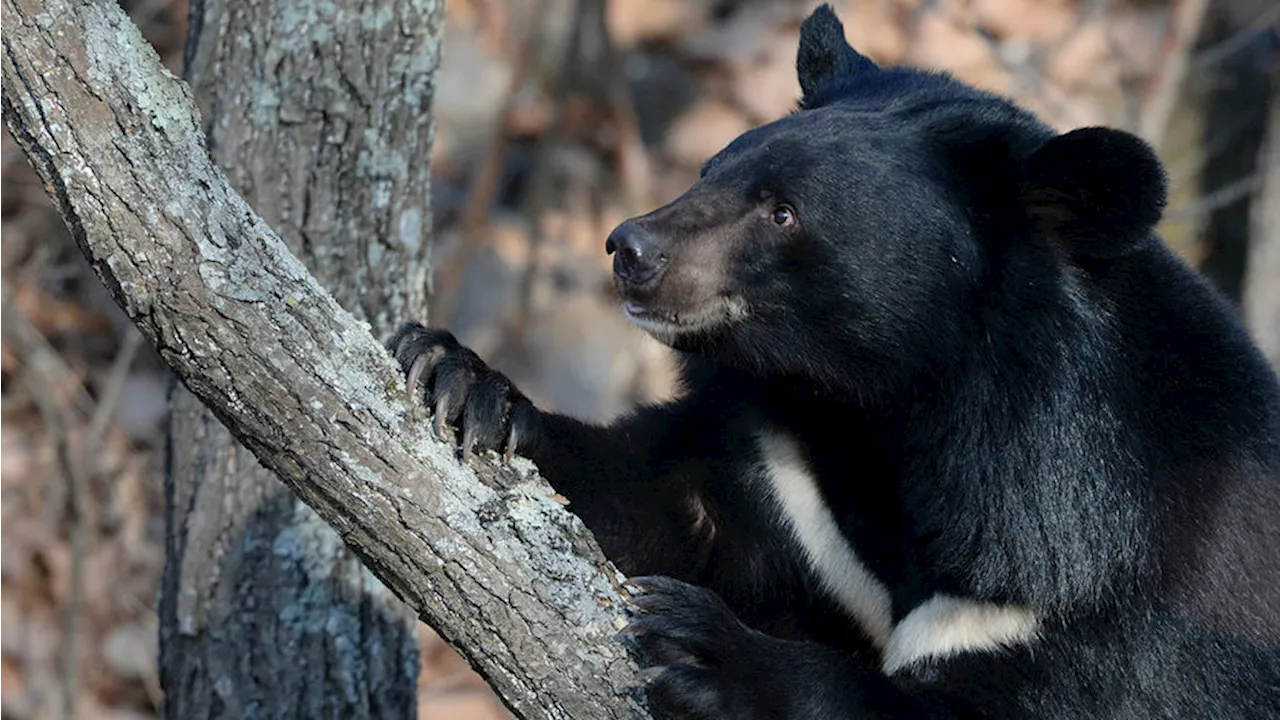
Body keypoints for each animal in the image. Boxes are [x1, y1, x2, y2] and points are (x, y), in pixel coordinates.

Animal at [389, 4, 1280, 712]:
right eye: (712, 168)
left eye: (783, 212)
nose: (629, 249)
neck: (881, 409)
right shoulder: (787, 476)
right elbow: (656, 499)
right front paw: (461, 380)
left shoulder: (1105, 599)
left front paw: (709, 650)